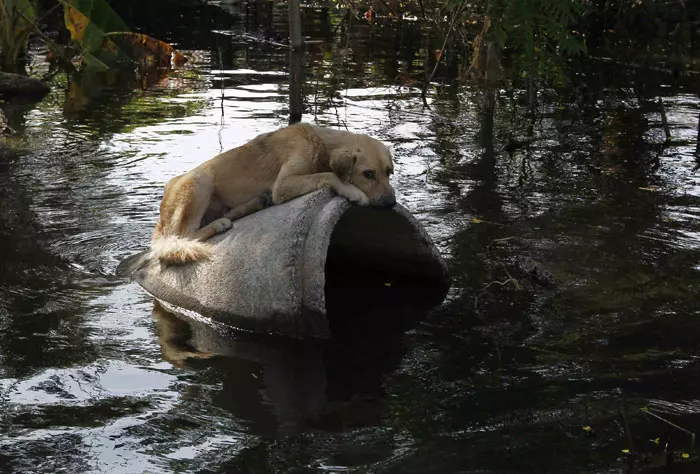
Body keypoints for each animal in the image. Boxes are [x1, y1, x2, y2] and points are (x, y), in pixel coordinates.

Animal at [151, 122, 396, 264]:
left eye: (388, 172)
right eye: (368, 174)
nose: (391, 203)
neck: (320, 143)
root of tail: (160, 220)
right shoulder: (283, 184)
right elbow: (329, 175)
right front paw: (353, 191)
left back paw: (255, 203)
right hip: (200, 181)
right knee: (185, 234)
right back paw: (219, 224)